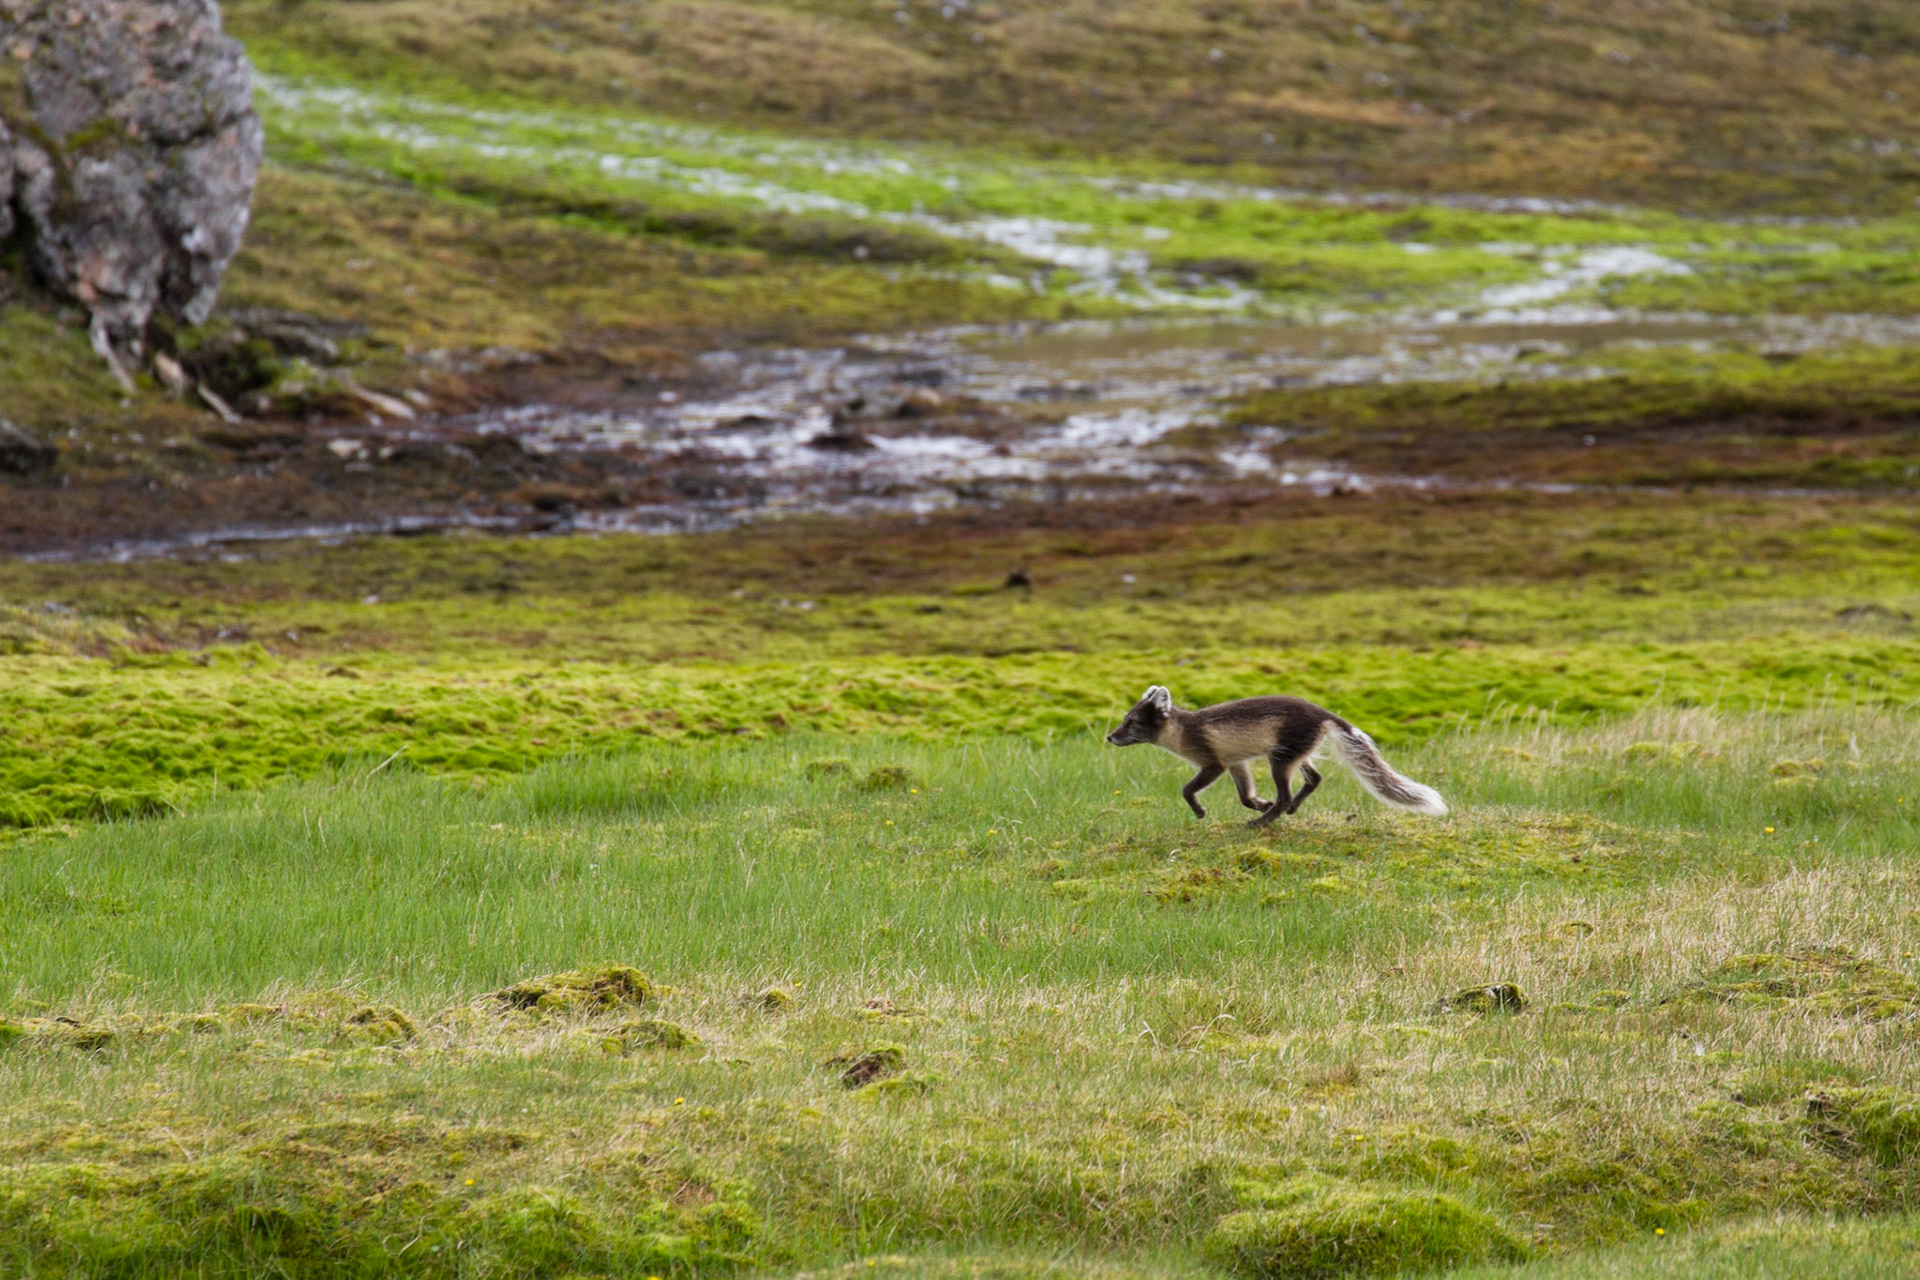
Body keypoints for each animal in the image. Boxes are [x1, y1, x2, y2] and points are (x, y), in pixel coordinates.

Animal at [1105, 686, 1447, 827]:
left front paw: (1201, 811)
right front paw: (1259, 802)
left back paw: (1261, 823)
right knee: (1314, 778)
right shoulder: (1236, 762)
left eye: (1132, 722)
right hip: (1297, 753)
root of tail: (1323, 712)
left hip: (1279, 759)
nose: (1109, 737)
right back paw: (1285, 809)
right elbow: (1244, 796)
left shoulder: (1213, 762)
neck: (1184, 731)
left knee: (1288, 793)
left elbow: (1187, 789)